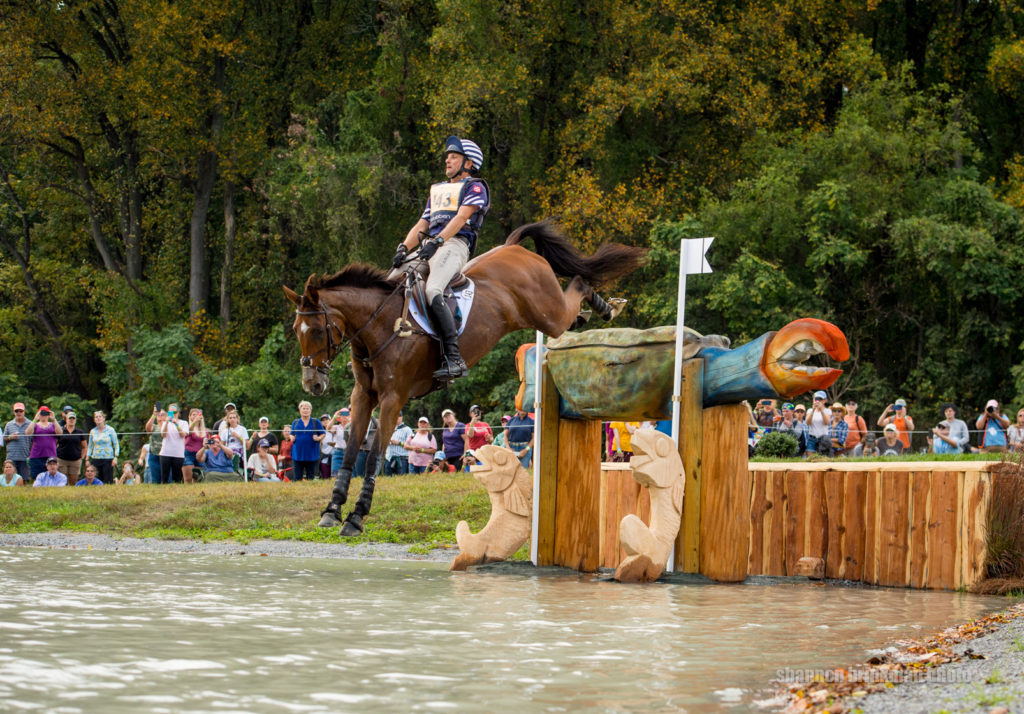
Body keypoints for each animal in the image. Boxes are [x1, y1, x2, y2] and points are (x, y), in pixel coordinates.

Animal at [284, 221, 643, 532]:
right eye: (296, 329)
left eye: (316, 330)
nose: (312, 384)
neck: (380, 325)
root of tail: (514, 247)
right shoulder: (363, 395)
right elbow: (351, 452)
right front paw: (332, 510)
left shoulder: (392, 399)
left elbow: (372, 458)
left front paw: (356, 517)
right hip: (546, 316)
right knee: (573, 306)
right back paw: (589, 313)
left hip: (548, 314)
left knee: (578, 284)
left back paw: (607, 307)